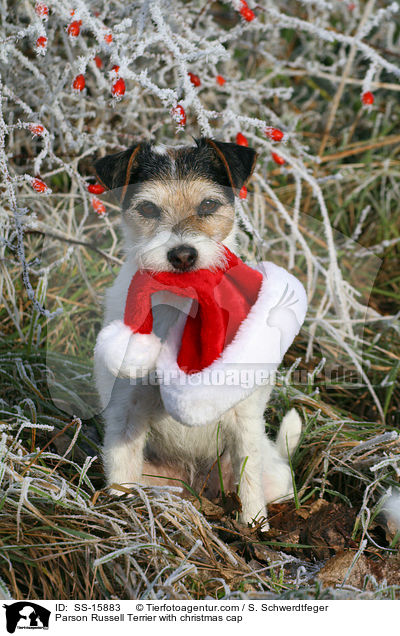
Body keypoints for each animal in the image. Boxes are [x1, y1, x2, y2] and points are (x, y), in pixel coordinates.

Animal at [92, 138, 302, 528]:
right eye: (147, 207)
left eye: (208, 204)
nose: (183, 255)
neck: (183, 303)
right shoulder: (125, 413)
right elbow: (121, 475)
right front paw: (121, 515)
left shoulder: (243, 421)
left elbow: (249, 485)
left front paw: (255, 529)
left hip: (272, 475)